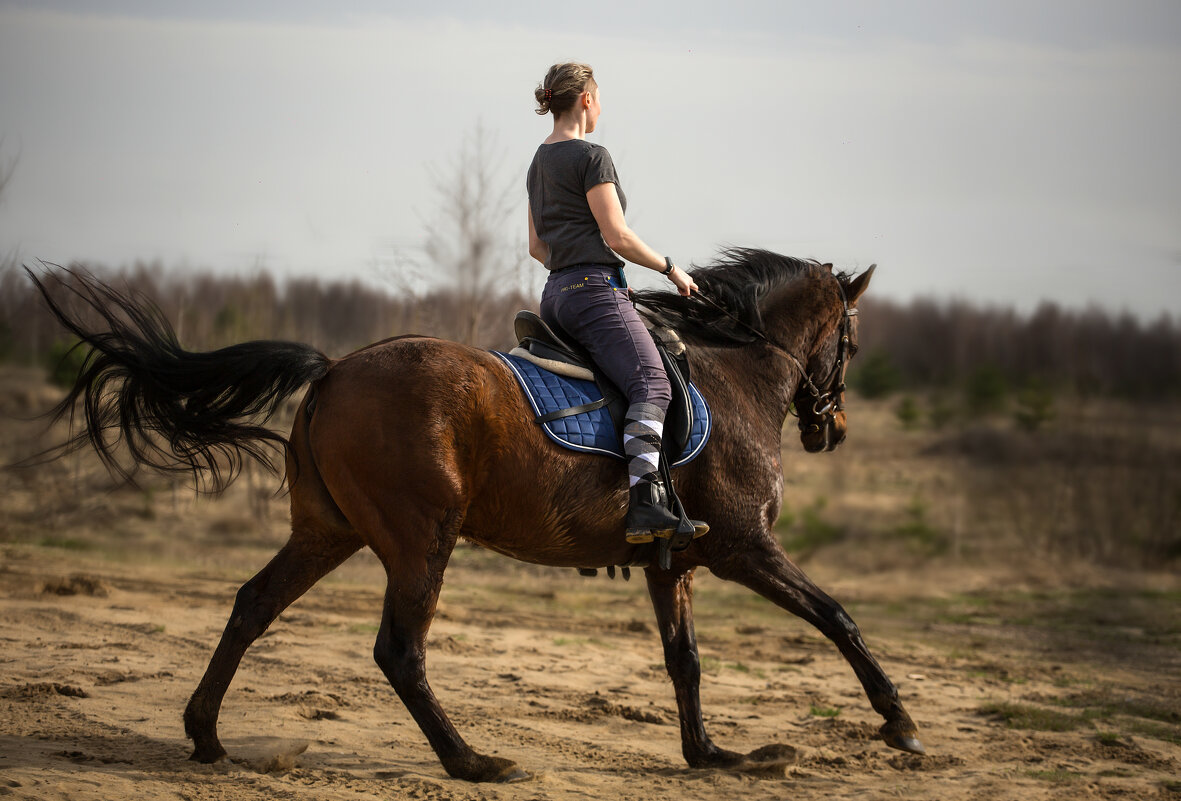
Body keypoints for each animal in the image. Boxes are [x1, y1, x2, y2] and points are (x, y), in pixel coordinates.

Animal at [29, 250, 921, 784]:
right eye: (850, 338)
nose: (832, 427)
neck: (736, 376)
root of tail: (333, 370)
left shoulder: (674, 562)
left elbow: (686, 661)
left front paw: (710, 753)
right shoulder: (744, 547)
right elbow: (836, 616)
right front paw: (899, 724)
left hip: (326, 532)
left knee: (253, 605)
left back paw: (207, 736)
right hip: (419, 541)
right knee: (399, 650)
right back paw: (471, 761)